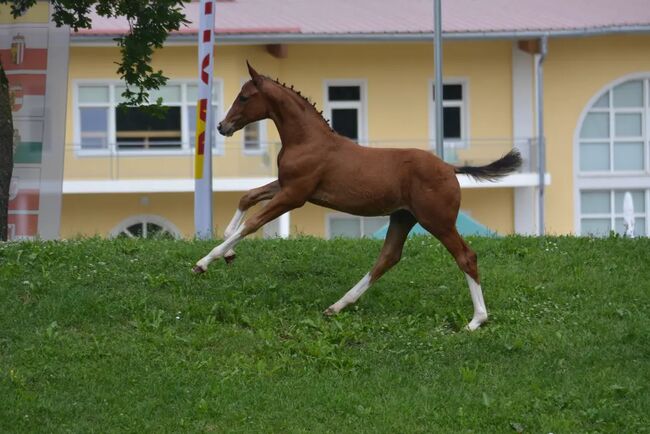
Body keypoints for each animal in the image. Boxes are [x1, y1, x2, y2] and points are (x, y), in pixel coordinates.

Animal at [190, 62, 520, 330]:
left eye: (244, 97)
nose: (222, 126)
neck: (308, 139)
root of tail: (450, 168)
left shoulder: (295, 194)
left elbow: (253, 223)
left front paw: (204, 262)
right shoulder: (287, 185)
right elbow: (246, 198)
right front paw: (228, 252)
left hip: (436, 220)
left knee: (465, 256)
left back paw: (476, 320)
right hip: (403, 217)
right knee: (387, 257)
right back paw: (337, 306)